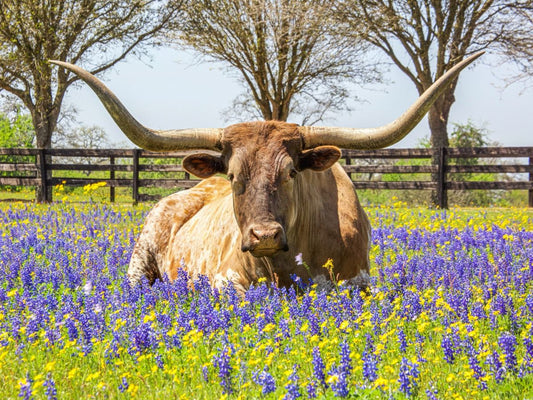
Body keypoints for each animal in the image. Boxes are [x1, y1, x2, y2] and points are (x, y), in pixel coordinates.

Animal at [51, 51, 482, 292]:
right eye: (232, 175)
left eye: (291, 172)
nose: (264, 235)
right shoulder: (225, 281)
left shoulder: (358, 284)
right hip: (138, 265)